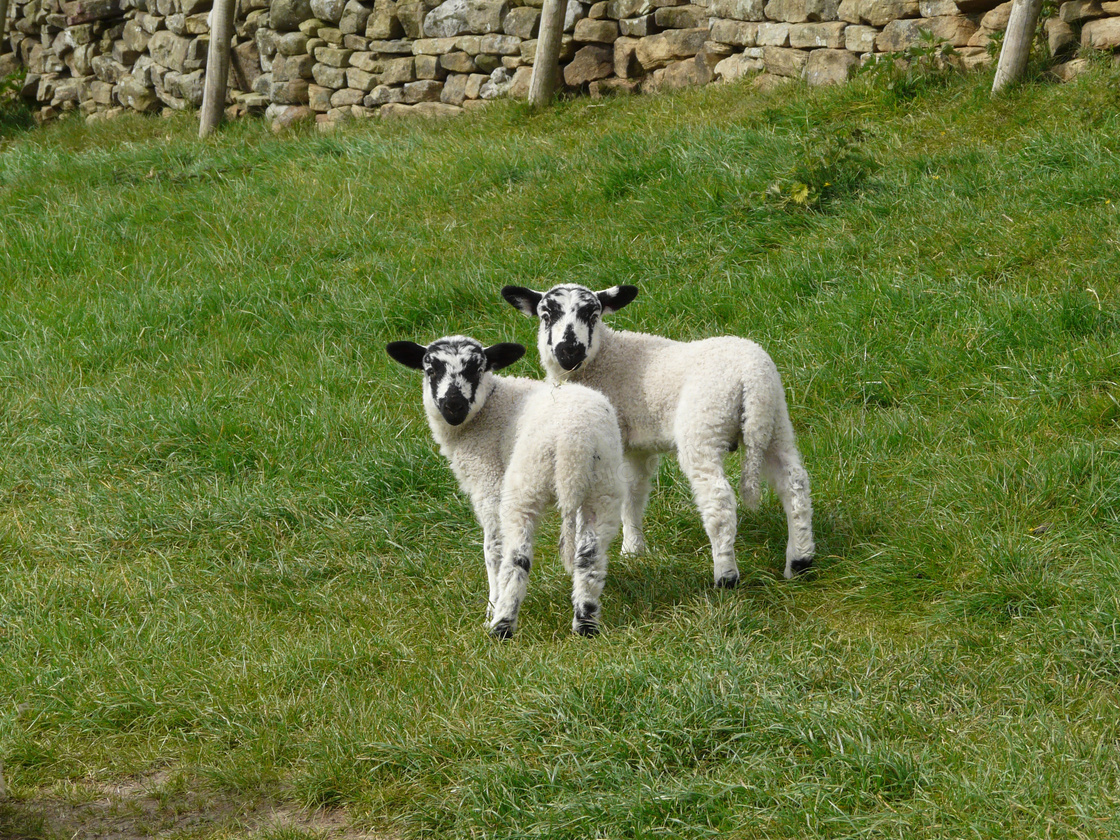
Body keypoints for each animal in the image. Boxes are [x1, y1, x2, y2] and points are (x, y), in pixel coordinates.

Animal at [389, 336, 627, 636]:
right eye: (430, 370)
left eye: (476, 369)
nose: (453, 406)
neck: (490, 408)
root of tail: (574, 442)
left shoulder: (488, 483)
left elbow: (493, 549)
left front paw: (490, 607)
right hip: (604, 486)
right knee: (589, 555)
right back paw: (585, 623)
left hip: (524, 484)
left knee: (517, 557)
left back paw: (501, 625)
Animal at [501, 286, 815, 586]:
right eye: (546, 315)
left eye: (593, 315)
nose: (570, 352)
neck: (606, 357)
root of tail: (752, 377)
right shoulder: (636, 447)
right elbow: (634, 493)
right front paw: (633, 549)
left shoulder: (604, 444)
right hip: (774, 422)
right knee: (794, 483)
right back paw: (800, 562)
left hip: (704, 424)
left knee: (719, 500)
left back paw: (726, 576)